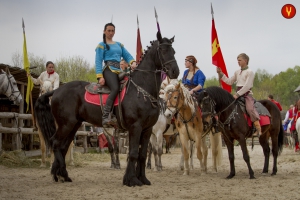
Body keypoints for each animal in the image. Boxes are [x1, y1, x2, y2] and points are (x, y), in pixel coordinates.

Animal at [35, 31, 180, 186]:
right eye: (163, 50)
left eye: (173, 51)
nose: (175, 71)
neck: (141, 90)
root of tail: (56, 91)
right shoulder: (136, 127)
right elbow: (133, 153)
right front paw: (131, 179)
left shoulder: (147, 130)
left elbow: (141, 154)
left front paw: (143, 178)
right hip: (66, 125)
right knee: (56, 143)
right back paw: (60, 174)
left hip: (73, 125)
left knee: (63, 146)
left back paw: (62, 175)